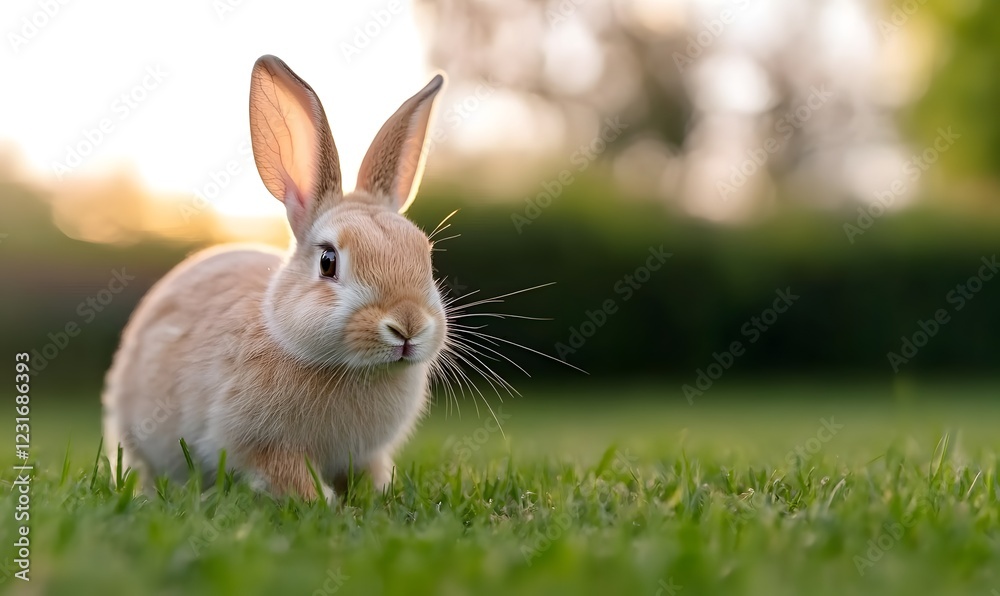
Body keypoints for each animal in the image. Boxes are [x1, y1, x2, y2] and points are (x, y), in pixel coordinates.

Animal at [101, 54, 448, 501]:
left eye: (426, 256)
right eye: (328, 262)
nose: (407, 326)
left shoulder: (366, 454)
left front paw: (374, 495)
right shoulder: (261, 445)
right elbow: (291, 477)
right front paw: (323, 503)